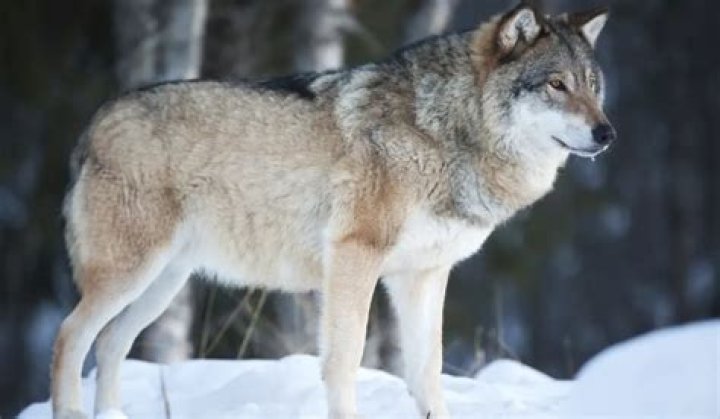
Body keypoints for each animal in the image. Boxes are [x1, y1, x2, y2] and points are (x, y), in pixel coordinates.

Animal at [52, 3, 614, 418]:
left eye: (592, 85)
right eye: (556, 85)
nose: (607, 133)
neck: (444, 130)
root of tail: (94, 122)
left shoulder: (423, 275)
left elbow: (427, 373)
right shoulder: (355, 256)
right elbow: (344, 361)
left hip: (162, 286)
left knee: (108, 343)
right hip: (131, 275)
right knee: (68, 337)